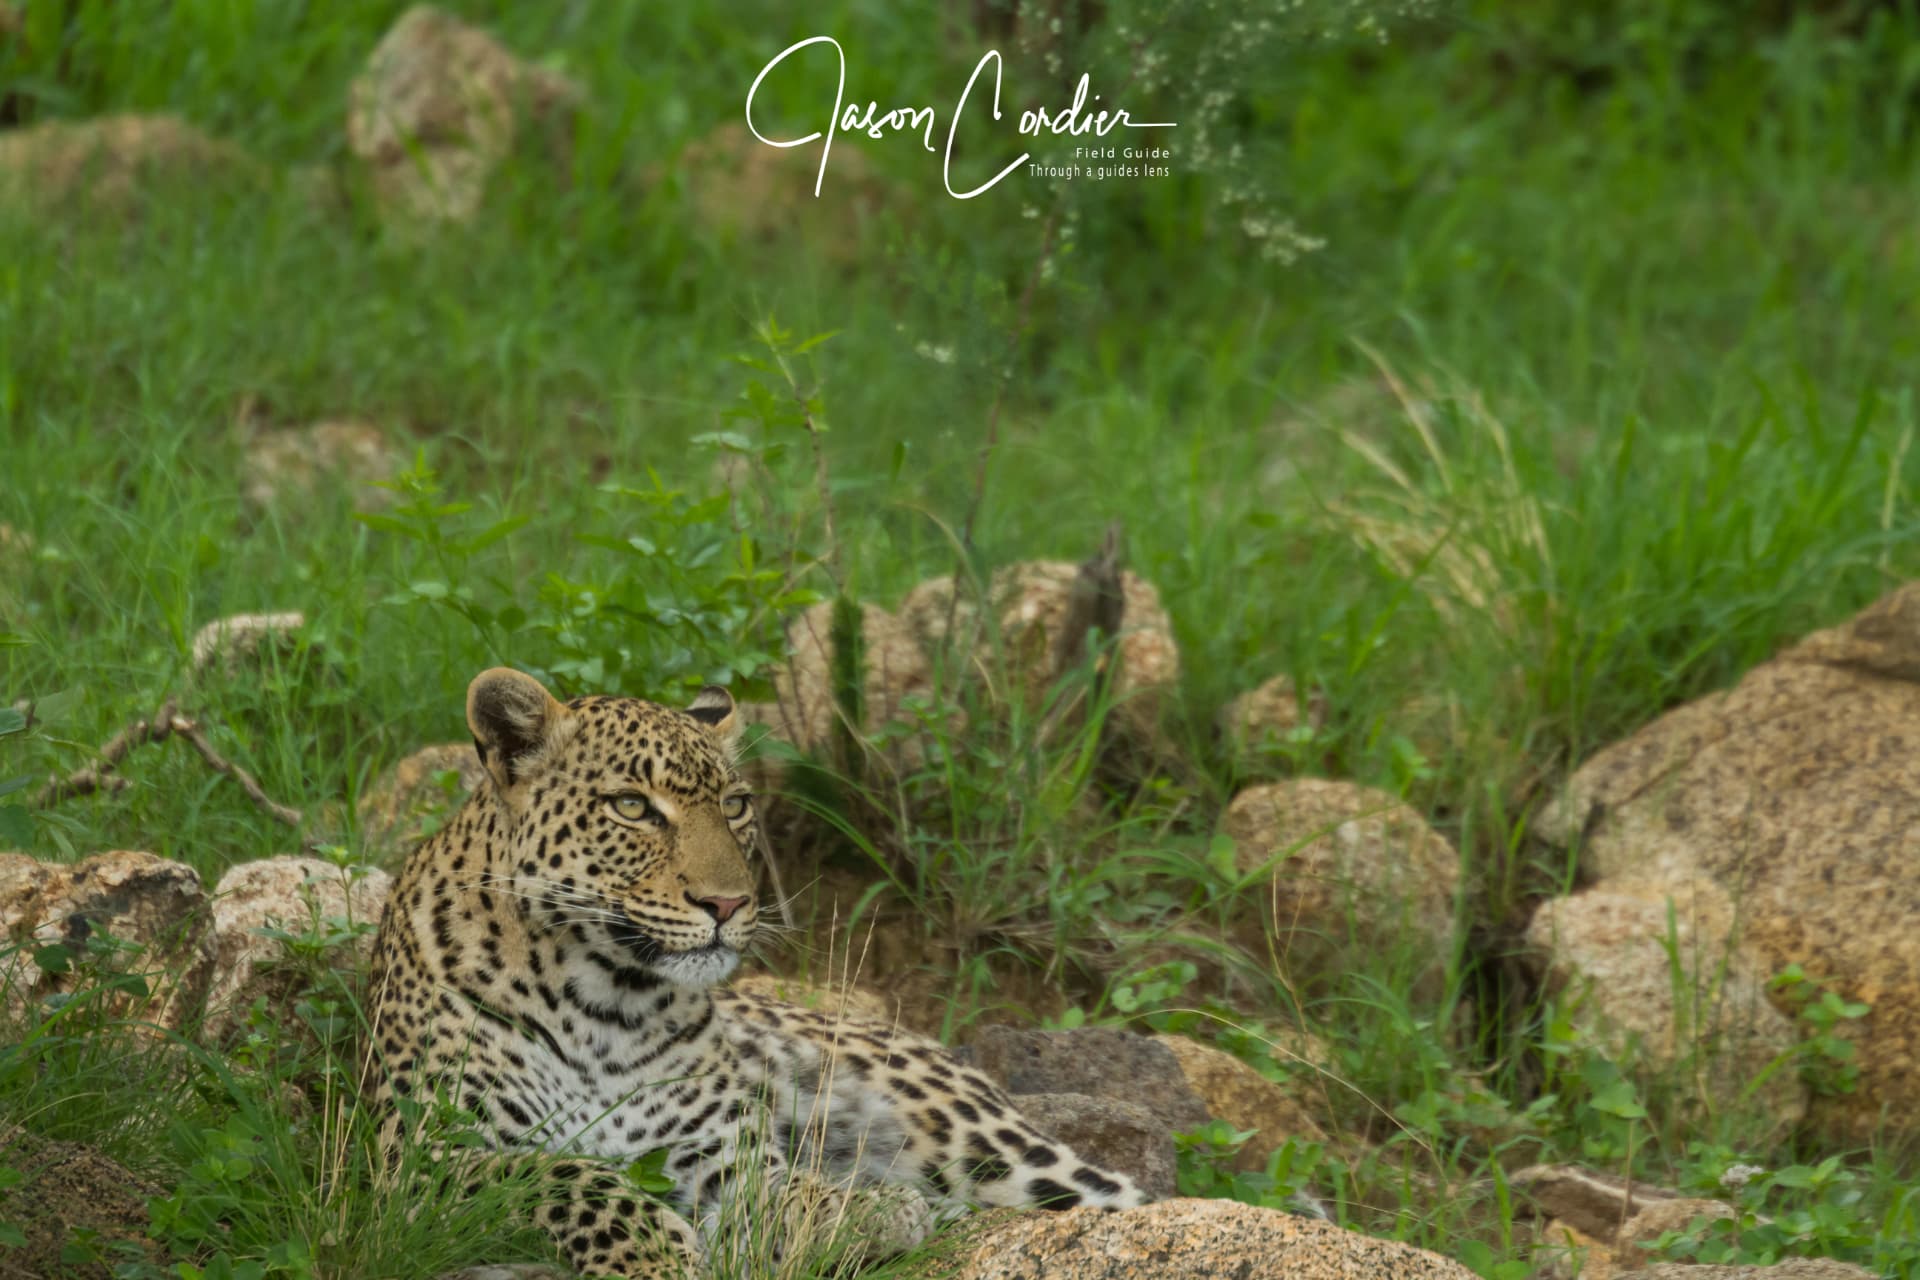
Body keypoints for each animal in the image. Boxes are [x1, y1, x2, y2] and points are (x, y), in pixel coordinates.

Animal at [365, 666, 1149, 1279]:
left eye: (735, 805)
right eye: (631, 807)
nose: (729, 903)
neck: (602, 1003)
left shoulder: (722, 1159)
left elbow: (779, 1192)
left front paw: (866, 1208)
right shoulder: (416, 1164)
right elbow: (568, 1176)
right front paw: (658, 1256)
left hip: (986, 1145)